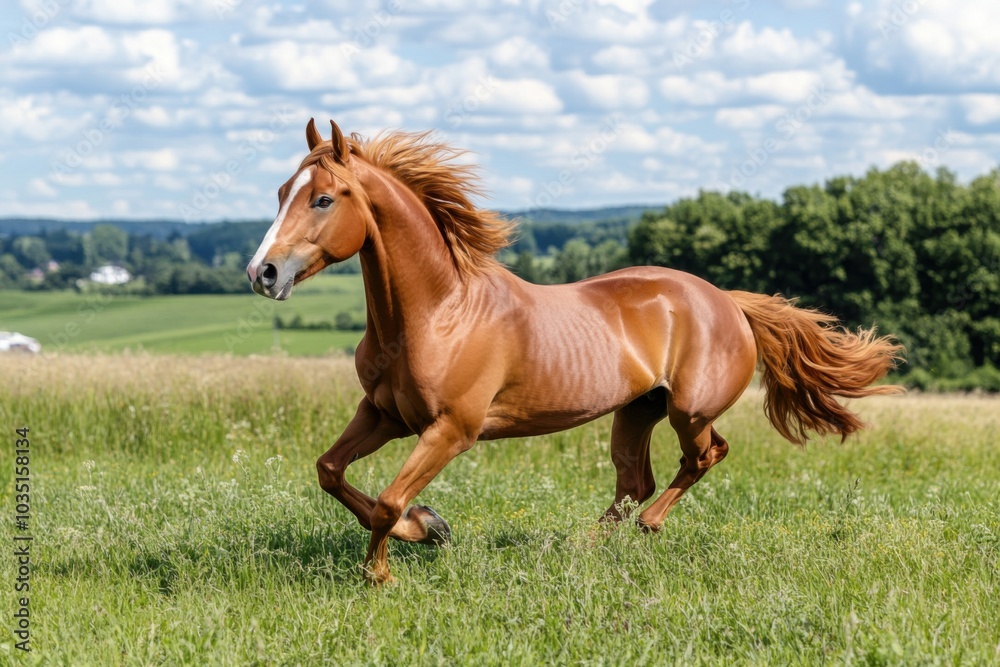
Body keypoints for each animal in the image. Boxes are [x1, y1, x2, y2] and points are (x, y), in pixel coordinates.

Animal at [246, 118, 903, 584]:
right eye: (279, 191)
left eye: (324, 199)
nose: (262, 272)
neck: (435, 314)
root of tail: (727, 301)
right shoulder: (384, 415)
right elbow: (330, 472)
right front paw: (430, 527)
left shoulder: (451, 430)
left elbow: (386, 502)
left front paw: (385, 566)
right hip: (637, 410)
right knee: (634, 479)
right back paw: (583, 546)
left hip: (689, 410)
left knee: (701, 458)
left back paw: (640, 530)